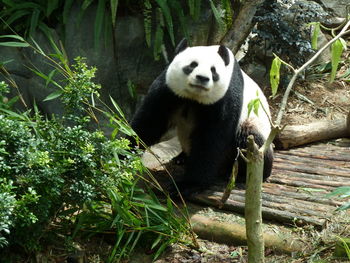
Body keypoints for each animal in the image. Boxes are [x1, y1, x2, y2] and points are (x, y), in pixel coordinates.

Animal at [131, 38, 274, 196]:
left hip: (253, 123)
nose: (202, 78)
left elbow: (211, 139)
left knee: (250, 139)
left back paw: (244, 173)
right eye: (192, 65)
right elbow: (150, 122)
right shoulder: (168, 89)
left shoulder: (226, 97)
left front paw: (187, 185)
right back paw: (181, 158)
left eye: (213, 70)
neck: (195, 98)